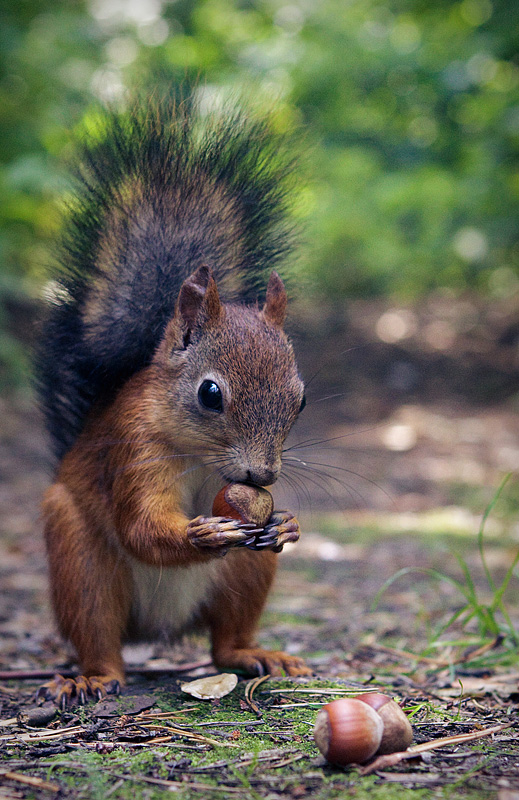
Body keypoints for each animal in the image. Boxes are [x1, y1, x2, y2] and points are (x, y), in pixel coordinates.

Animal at [37, 97, 312, 704]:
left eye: (301, 401)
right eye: (210, 393)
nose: (261, 477)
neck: (198, 454)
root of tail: (159, 631)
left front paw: (286, 525)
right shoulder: (134, 450)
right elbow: (141, 527)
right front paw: (201, 533)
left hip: (244, 577)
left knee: (225, 641)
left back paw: (257, 653)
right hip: (80, 561)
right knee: (99, 634)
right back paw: (93, 677)